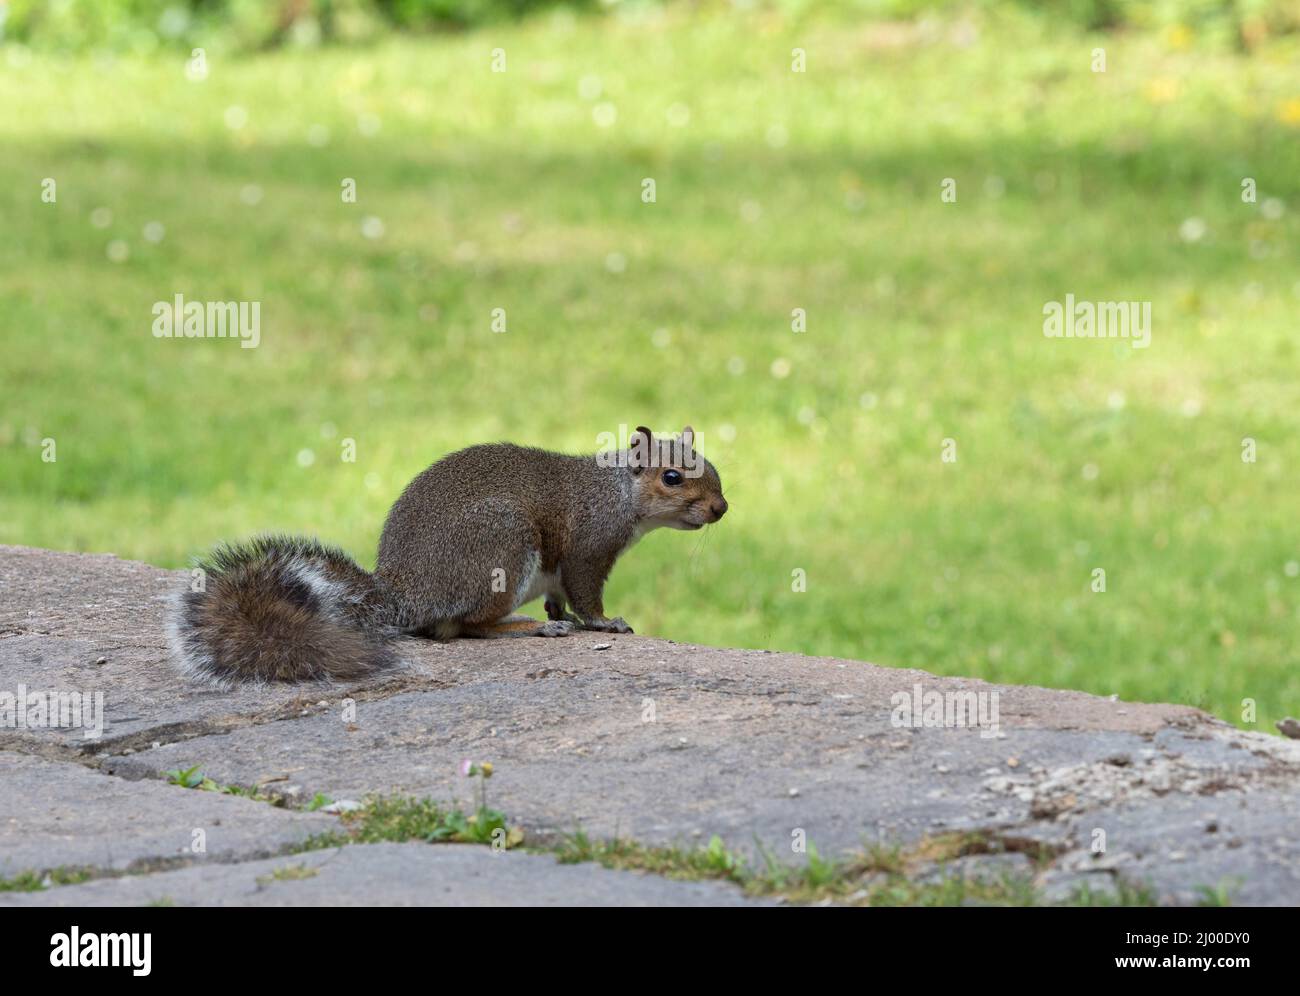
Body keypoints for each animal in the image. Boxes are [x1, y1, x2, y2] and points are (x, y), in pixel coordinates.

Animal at [169, 425, 727, 685]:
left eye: (713, 466)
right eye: (672, 477)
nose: (721, 508)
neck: (616, 493)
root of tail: (406, 595)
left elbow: (558, 597)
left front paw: (560, 614)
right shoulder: (589, 547)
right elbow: (586, 593)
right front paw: (602, 622)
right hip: (503, 544)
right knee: (467, 627)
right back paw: (528, 628)